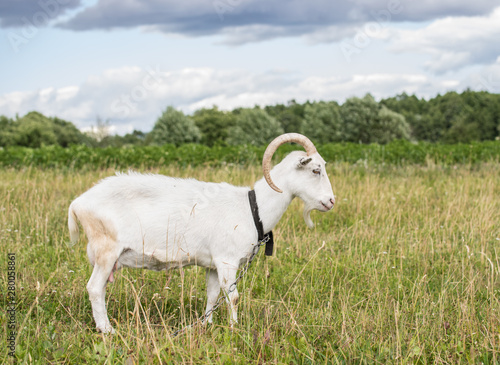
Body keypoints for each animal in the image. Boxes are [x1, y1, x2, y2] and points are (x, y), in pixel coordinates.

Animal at [69, 132, 336, 332]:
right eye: (315, 170)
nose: (331, 201)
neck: (253, 207)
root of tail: (78, 203)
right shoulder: (227, 261)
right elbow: (233, 297)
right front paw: (234, 329)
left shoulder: (213, 265)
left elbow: (212, 295)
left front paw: (207, 325)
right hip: (107, 250)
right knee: (94, 288)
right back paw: (108, 330)